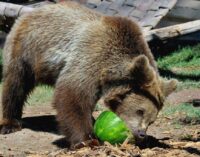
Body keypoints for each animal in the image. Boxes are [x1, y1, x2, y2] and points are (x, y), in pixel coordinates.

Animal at [0, 1, 176, 147]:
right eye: (140, 111)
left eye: (152, 120)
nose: (141, 134)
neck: (108, 71)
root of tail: (32, 12)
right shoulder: (90, 58)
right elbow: (72, 97)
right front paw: (87, 140)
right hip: (26, 49)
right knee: (15, 84)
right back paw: (10, 124)